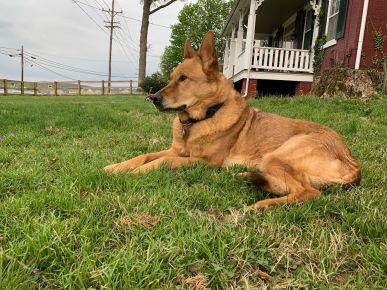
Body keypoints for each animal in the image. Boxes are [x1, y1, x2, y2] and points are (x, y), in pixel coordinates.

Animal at [104, 31, 362, 208]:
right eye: (171, 77)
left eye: (183, 78)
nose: (153, 98)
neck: (202, 119)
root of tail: (353, 163)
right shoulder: (177, 150)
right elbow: (145, 155)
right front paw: (117, 167)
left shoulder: (204, 162)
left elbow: (162, 161)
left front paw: (136, 173)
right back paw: (244, 176)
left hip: (277, 156)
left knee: (308, 192)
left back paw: (262, 205)